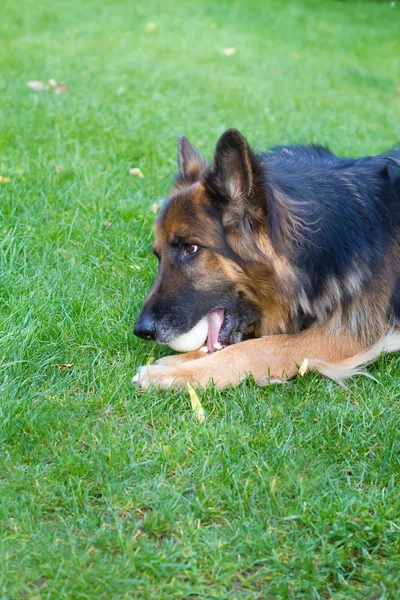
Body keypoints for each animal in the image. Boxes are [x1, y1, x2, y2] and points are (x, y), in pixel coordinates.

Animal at [132, 129, 400, 390]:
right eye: (158, 255)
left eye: (190, 248)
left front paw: (174, 374)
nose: (141, 331)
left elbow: (257, 348)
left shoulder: (348, 335)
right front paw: (180, 360)